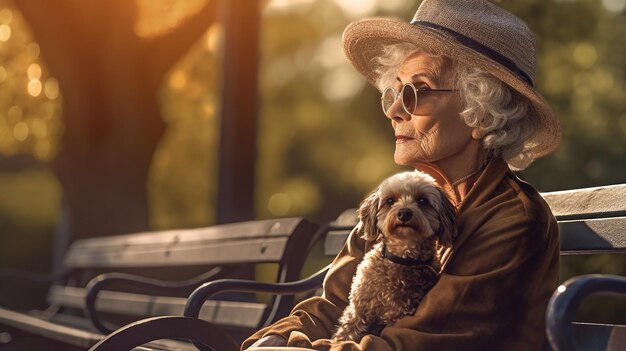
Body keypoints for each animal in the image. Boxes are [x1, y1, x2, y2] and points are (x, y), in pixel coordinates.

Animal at [330, 171, 456, 344]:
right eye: (390, 201)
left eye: (422, 200)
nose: (404, 213)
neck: (401, 258)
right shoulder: (358, 309)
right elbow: (346, 332)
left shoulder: (396, 315)